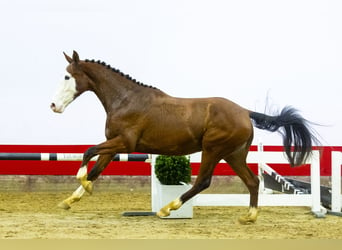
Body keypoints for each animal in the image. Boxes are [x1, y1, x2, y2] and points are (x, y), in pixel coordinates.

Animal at [50, 50, 318, 225]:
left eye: (67, 77)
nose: (53, 106)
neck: (126, 100)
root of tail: (244, 112)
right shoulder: (114, 145)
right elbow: (96, 168)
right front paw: (70, 199)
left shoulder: (125, 143)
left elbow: (88, 152)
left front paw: (83, 183)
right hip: (234, 154)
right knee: (252, 181)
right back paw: (249, 216)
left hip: (213, 149)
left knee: (203, 182)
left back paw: (167, 209)